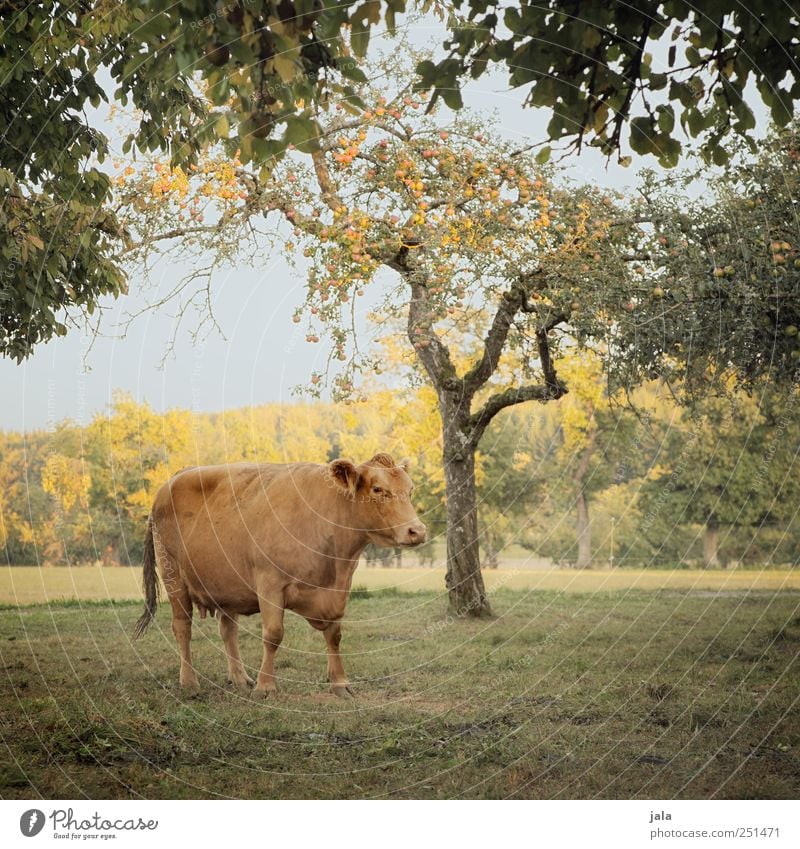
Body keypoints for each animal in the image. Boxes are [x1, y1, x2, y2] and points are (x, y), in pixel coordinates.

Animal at [134, 450, 428, 696]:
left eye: (410, 489)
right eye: (378, 489)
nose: (417, 531)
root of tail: (176, 477)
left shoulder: (339, 588)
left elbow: (334, 635)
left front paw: (340, 683)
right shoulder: (270, 584)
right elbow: (273, 635)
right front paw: (266, 686)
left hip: (226, 583)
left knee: (228, 630)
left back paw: (239, 678)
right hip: (174, 576)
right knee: (182, 627)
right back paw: (189, 681)